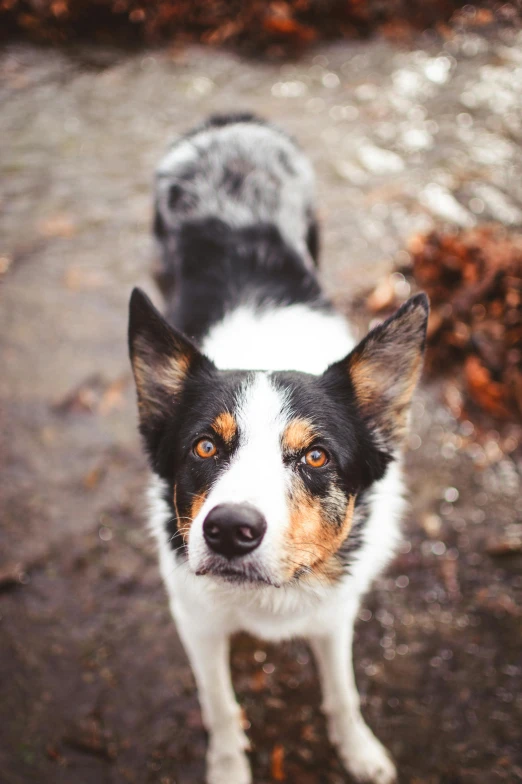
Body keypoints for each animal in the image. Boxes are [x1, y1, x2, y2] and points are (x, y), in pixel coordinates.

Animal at [127, 115, 426, 784]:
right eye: (205, 446)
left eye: (316, 457)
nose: (229, 531)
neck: (270, 596)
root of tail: (230, 123)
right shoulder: (196, 621)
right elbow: (218, 707)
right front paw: (227, 767)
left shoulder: (336, 613)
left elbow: (343, 689)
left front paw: (358, 749)